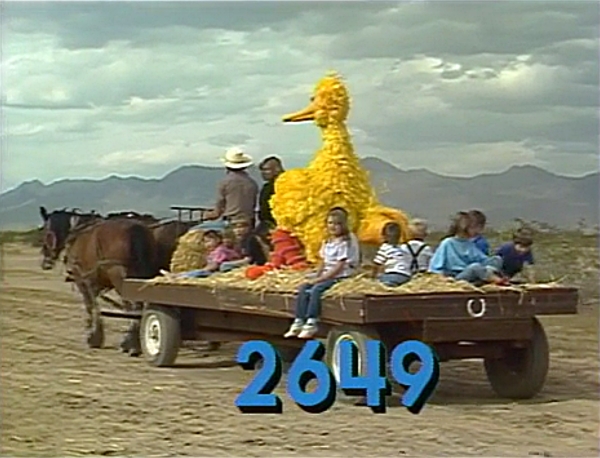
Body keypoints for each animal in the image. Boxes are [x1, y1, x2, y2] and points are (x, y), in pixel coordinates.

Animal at [62, 218, 159, 351]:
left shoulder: (85, 281)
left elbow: (91, 306)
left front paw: (93, 336)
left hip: (120, 278)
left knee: (133, 307)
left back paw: (131, 343)